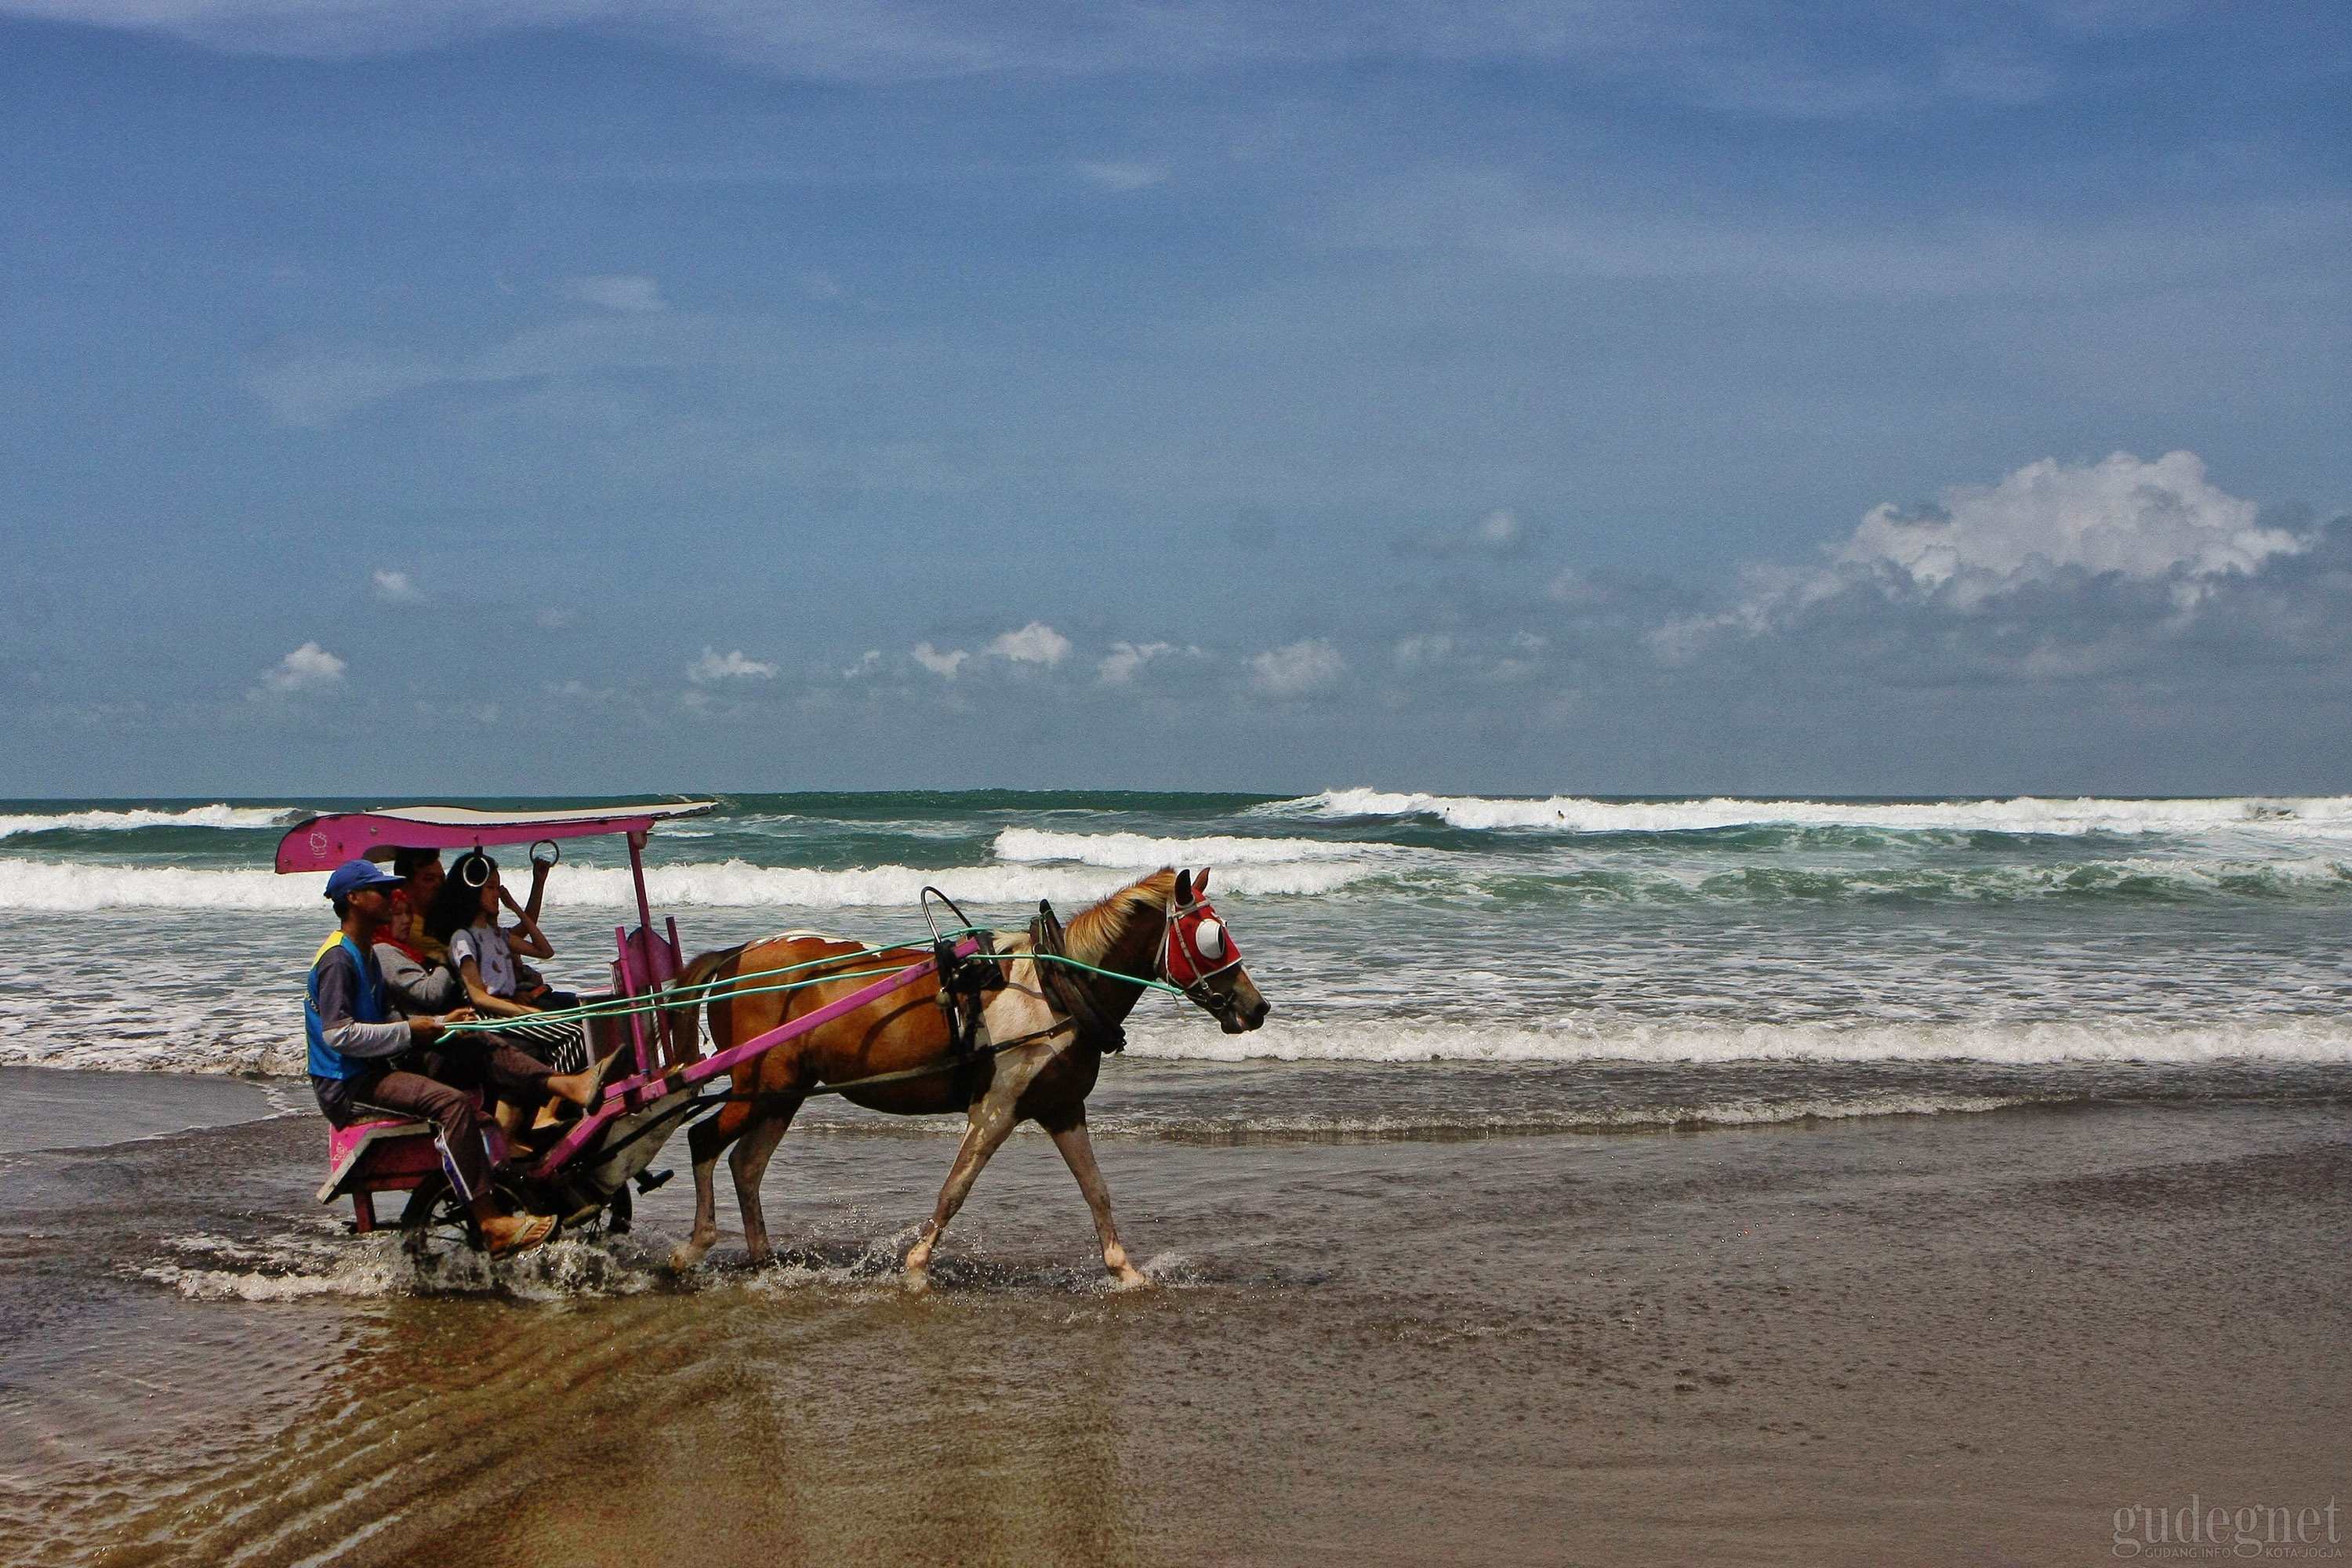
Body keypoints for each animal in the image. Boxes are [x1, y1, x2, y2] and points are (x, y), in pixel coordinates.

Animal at [663, 865, 1270, 1298]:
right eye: (1212, 938)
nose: (1257, 1007)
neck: (1055, 987)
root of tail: (736, 957)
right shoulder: (996, 1109)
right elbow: (955, 1189)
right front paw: (915, 1267)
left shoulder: (1062, 1108)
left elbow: (1096, 1191)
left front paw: (1125, 1271)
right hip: (757, 1089)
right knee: (702, 1140)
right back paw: (694, 1247)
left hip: (780, 1094)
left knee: (746, 1164)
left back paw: (763, 1261)